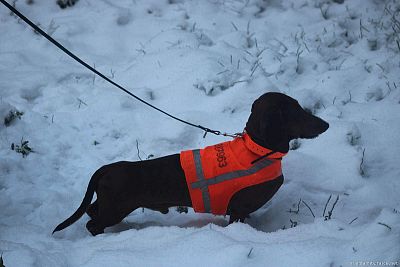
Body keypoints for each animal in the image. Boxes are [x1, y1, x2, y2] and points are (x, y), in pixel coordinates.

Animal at [52, 92, 328, 237]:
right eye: (296, 111)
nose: (326, 124)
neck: (256, 149)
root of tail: (108, 168)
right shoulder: (238, 211)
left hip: (110, 205)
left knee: (92, 211)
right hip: (116, 208)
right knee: (92, 223)